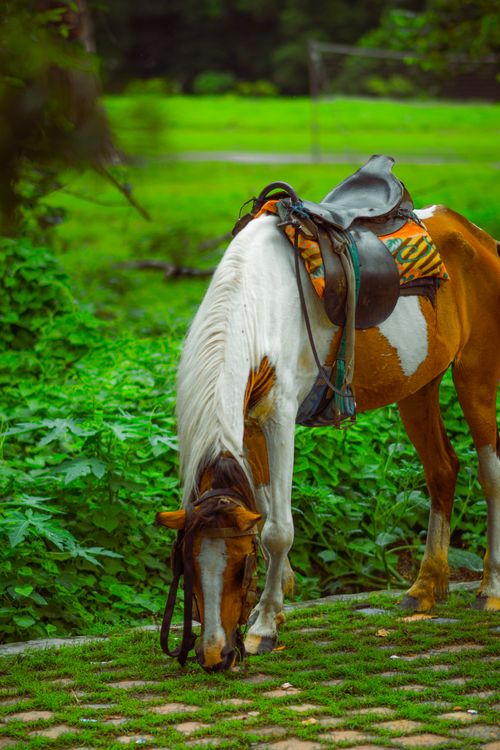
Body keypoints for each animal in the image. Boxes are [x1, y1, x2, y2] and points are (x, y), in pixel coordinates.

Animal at [156, 181, 500, 672]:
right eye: (186, 565)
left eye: (241, 566)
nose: (215, 656)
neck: (257, 303)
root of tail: (476, 234)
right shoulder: (250, 424)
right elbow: (265, 514)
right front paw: (272, 607)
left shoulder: (279, 417)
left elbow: (278, 529)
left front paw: (264, 628)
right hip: (418, 386)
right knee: (442, 471)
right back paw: (424, 589)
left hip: (476, 372)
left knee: (490, 475)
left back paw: (489, 589)